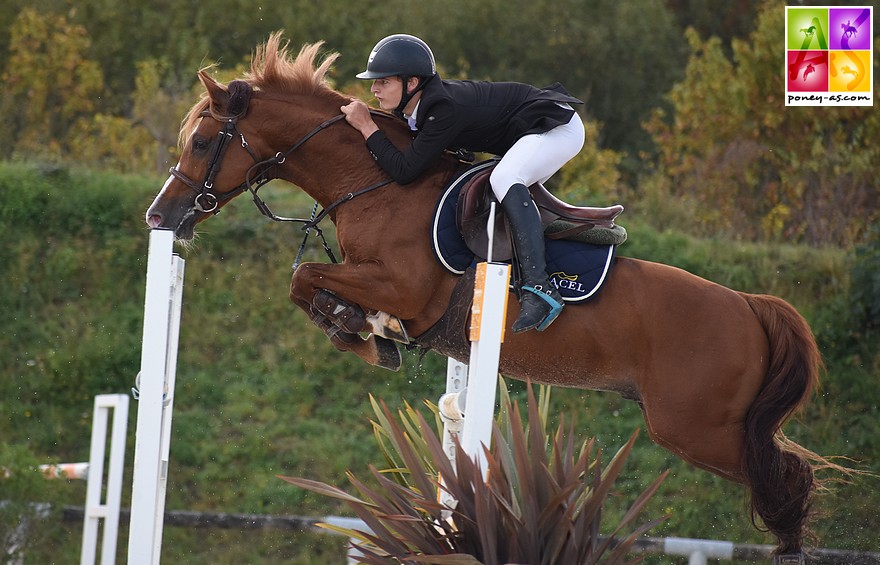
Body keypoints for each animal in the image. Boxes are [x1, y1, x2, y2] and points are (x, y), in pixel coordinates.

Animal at [146, 34, 832, 556]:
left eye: (202, 142)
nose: (161, 215)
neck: (377, 182)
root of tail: (750, 306)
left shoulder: (401, 284)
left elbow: (307, 278)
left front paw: (358, 329)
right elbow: (305, 281)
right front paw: (364, 331)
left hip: (696, 428)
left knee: (788, 476)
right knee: (785, 472)